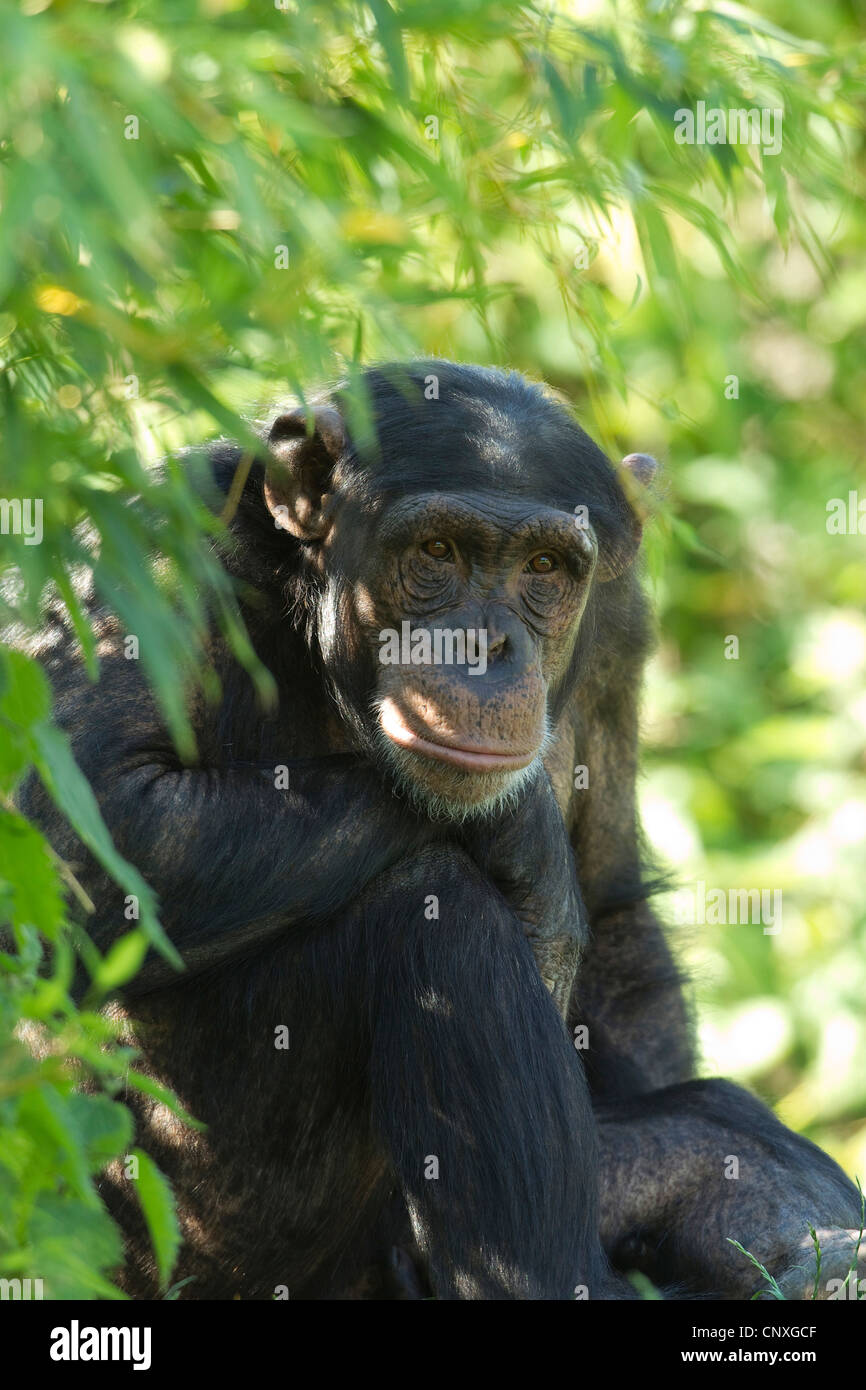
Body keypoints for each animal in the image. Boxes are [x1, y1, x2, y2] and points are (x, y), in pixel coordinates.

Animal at [20, 361, 866, 1301]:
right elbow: (85, 819)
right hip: (167, 1211)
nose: (487, 645)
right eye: (436, 553)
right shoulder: (166, 542)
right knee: (434, 916)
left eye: (545, 566)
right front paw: (529, 841)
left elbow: (614, 904)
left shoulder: (618, 622)